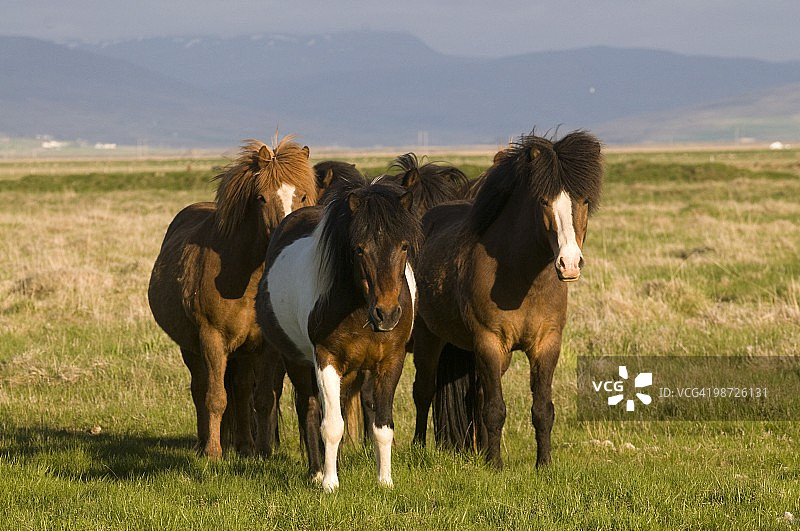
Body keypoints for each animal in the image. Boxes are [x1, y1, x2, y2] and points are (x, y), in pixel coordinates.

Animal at [148, 136, 317, 458]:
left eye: (302, 196)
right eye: (261, 198)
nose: (283, 236)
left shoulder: (266, 346)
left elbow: (263, 399)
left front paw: (263, 451)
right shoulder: (211, 339)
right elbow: (215, 397)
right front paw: (213, 453)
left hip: (243, 353)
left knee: (241, 390)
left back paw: (246, 446)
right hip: (192, 348)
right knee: (200, 389)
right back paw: (204, 443)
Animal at [255, 179, 421, 492]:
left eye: (404, 246)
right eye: (359, 249)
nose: (387, 314)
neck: (359, 309)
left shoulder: (391, 362)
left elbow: (382, 426)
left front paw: (385, 481)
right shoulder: (326, 359)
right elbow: (331, 425)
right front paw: (330, 483)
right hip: (296, 361)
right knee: (309, 409)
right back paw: (316, 471)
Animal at [411, 131, 603, 468]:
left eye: (584, 201)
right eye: (543, 202)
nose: (569, 264)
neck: (523, 279)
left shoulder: (546, 343)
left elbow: (542, 410)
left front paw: (543, 465)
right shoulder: (490, 342)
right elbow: (495, 409)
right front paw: (495, 466)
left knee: (474, 396)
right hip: (428, 336)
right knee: (424, 391)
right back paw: (419, 448)